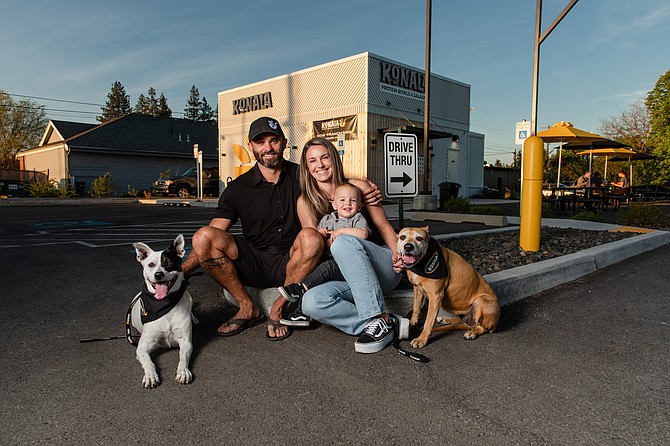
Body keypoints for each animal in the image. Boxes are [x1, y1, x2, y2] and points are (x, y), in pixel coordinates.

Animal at [131, 235, 194, 388]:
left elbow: (183, 358)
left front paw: (183, 372)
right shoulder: (142, 347)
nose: (158, 274)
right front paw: (150, 376)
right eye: (151, 265)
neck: (165, 305)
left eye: (169, 262)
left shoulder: (186, 342)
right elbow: (148, 362)